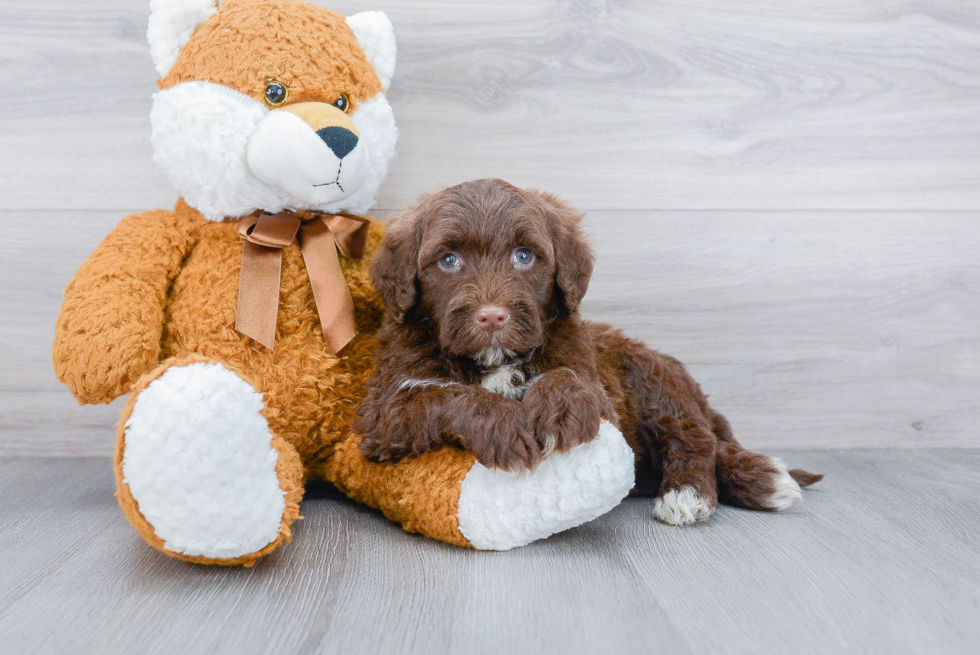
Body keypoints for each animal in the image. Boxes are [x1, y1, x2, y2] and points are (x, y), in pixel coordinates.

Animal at [358, 181, 820, 528]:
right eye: (449, 260)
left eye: (524, 256)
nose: (491, 316)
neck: (496, 359)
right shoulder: (381, 414)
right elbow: (445, 393)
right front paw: (505, 426)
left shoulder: (597, 386)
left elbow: (568, 377)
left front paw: (560, 411)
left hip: (655, 382)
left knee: (694, 439)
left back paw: (689, 494)